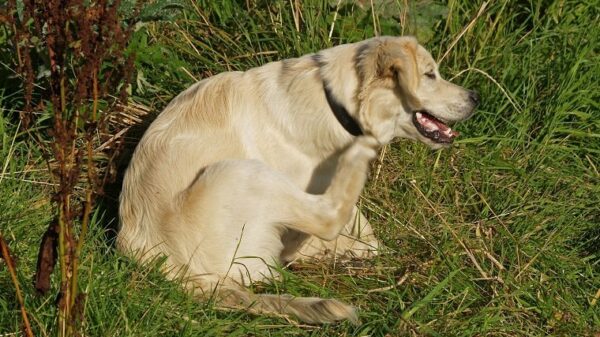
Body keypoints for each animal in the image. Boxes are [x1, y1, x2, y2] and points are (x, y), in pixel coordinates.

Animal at [119, 36, 480, 322]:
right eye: (430, 74)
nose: (475, 98)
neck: (334, 103)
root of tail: (180, 274)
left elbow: (366, 234)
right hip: (241, 173)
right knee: (327, 218)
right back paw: (359, 156)